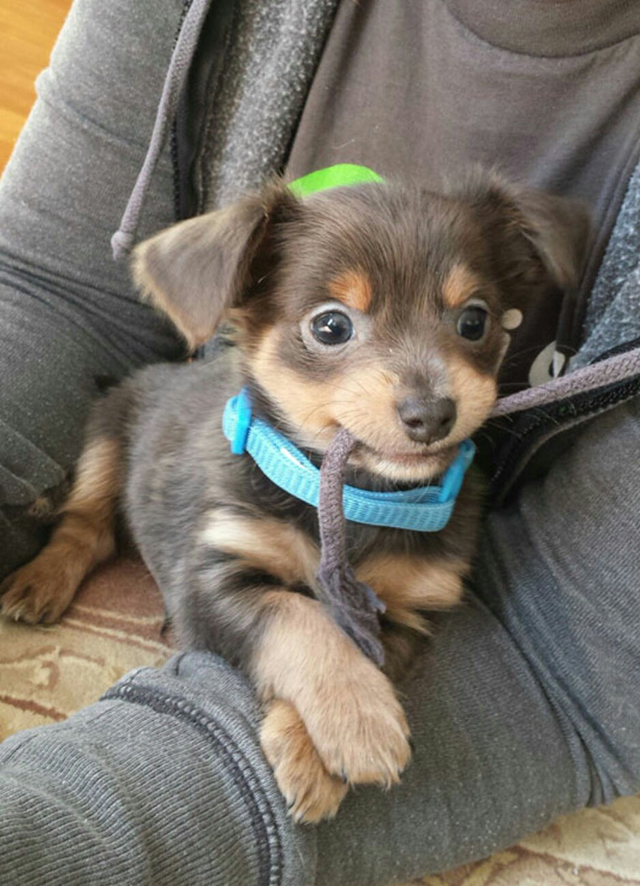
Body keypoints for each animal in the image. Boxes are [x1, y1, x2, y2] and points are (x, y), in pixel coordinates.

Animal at [1, 172, 592, 824]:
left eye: (474, 322)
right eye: (331, 326)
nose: (433, 413)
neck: (355, 495)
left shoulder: (406, 607)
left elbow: (353, 639)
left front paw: (316, 747)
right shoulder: (209, 580)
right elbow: (298, 616)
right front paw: (361, 721)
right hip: (107, 436)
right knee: (86, 526)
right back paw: (41, 581)